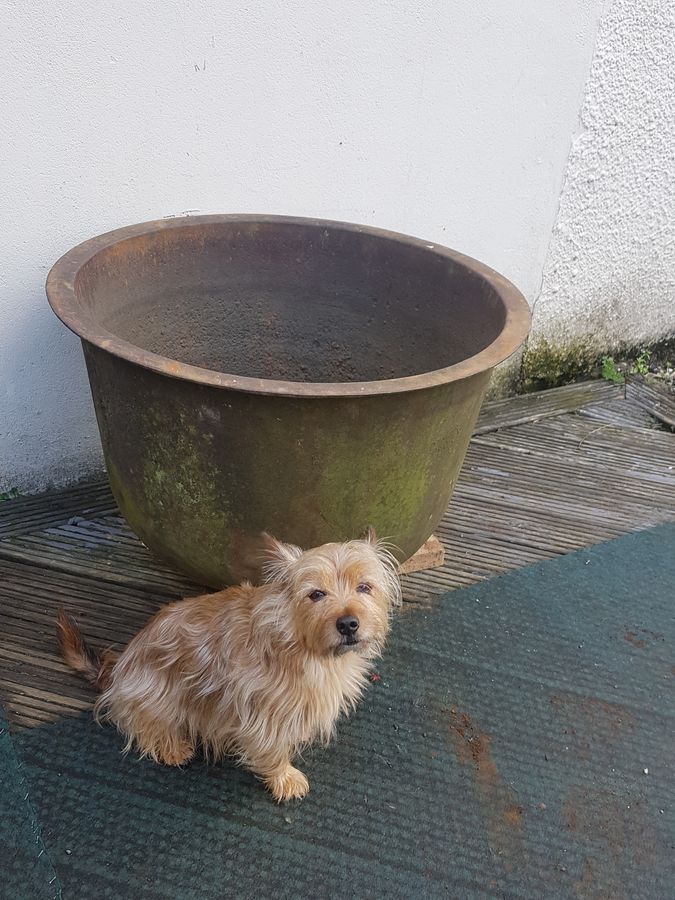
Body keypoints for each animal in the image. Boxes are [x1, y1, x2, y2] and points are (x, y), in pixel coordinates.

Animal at [58, 532, 402, 800]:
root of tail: (118, 670)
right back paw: (171, 747)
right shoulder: (264, 714)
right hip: (155, 694)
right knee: (141, 724)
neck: (301, 645)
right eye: (316, 594)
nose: (348, 623)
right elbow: (273, 749)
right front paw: (284, 778)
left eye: (364, 587)